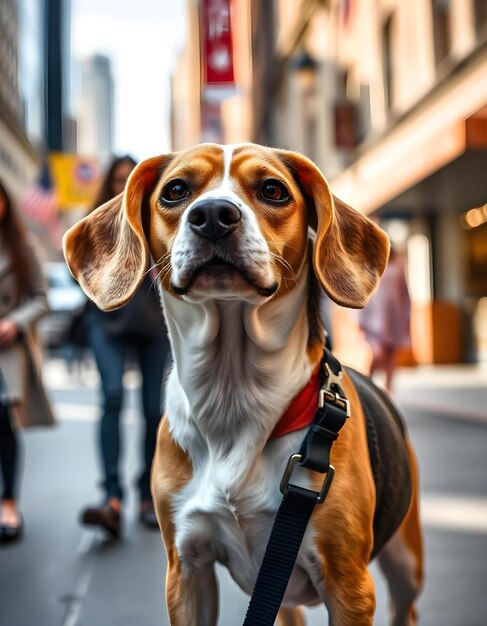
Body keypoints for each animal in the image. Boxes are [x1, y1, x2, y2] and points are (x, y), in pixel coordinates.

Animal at [63, 144, 424, 624]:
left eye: (272, 190)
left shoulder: (349, 586)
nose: (214, 215)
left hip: (405, 566)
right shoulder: (187, 572)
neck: (232, 396)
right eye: (176, 190)